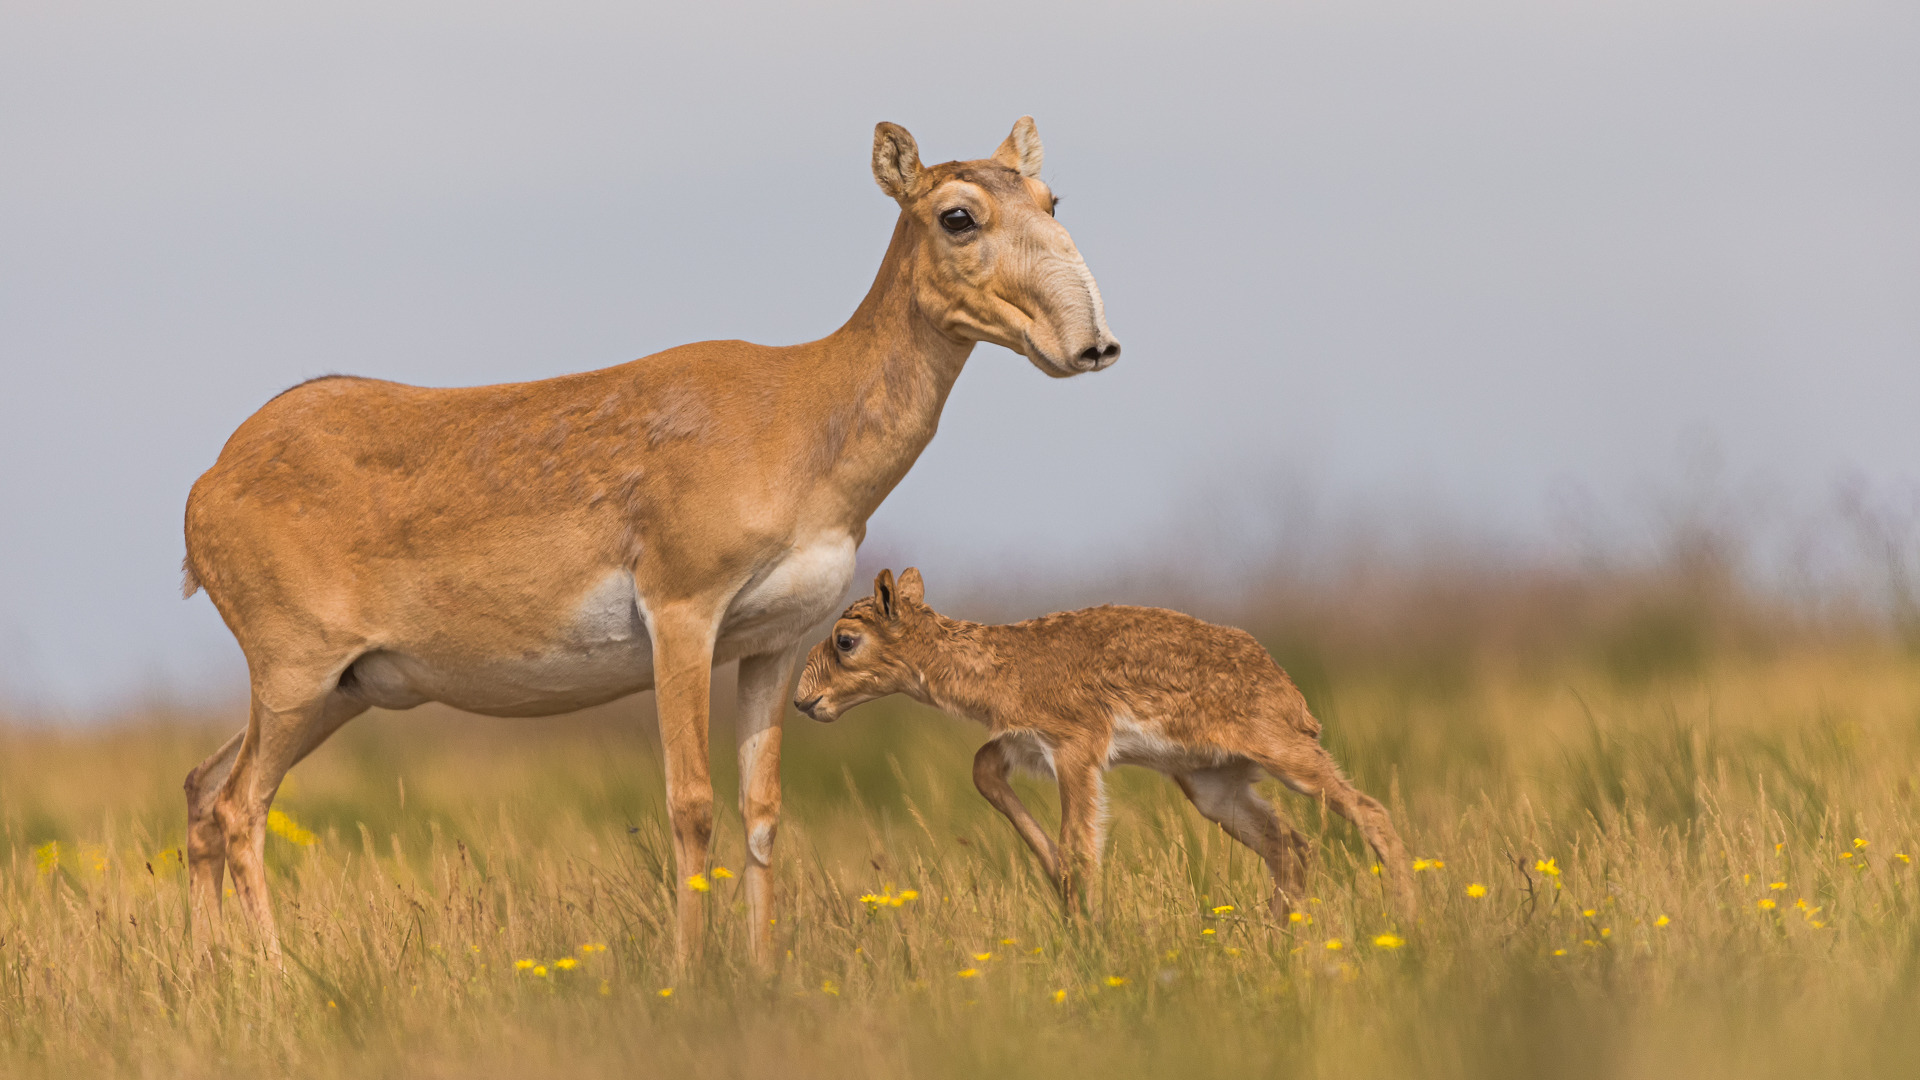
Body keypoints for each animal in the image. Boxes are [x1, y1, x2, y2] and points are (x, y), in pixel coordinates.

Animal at [180, 117, 1121, 957]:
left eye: (1051, 196)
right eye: (958, 215)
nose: (1095, 344)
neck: (804, 410)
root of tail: (210, 482)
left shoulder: (775, 644)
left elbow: (762, 812)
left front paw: (761, 973)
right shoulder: (683, 617)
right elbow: (691, 804)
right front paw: (689, 974)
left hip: (342, 690)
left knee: (201, 789)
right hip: (296, 679)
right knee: (238, 806)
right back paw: (278, 976)